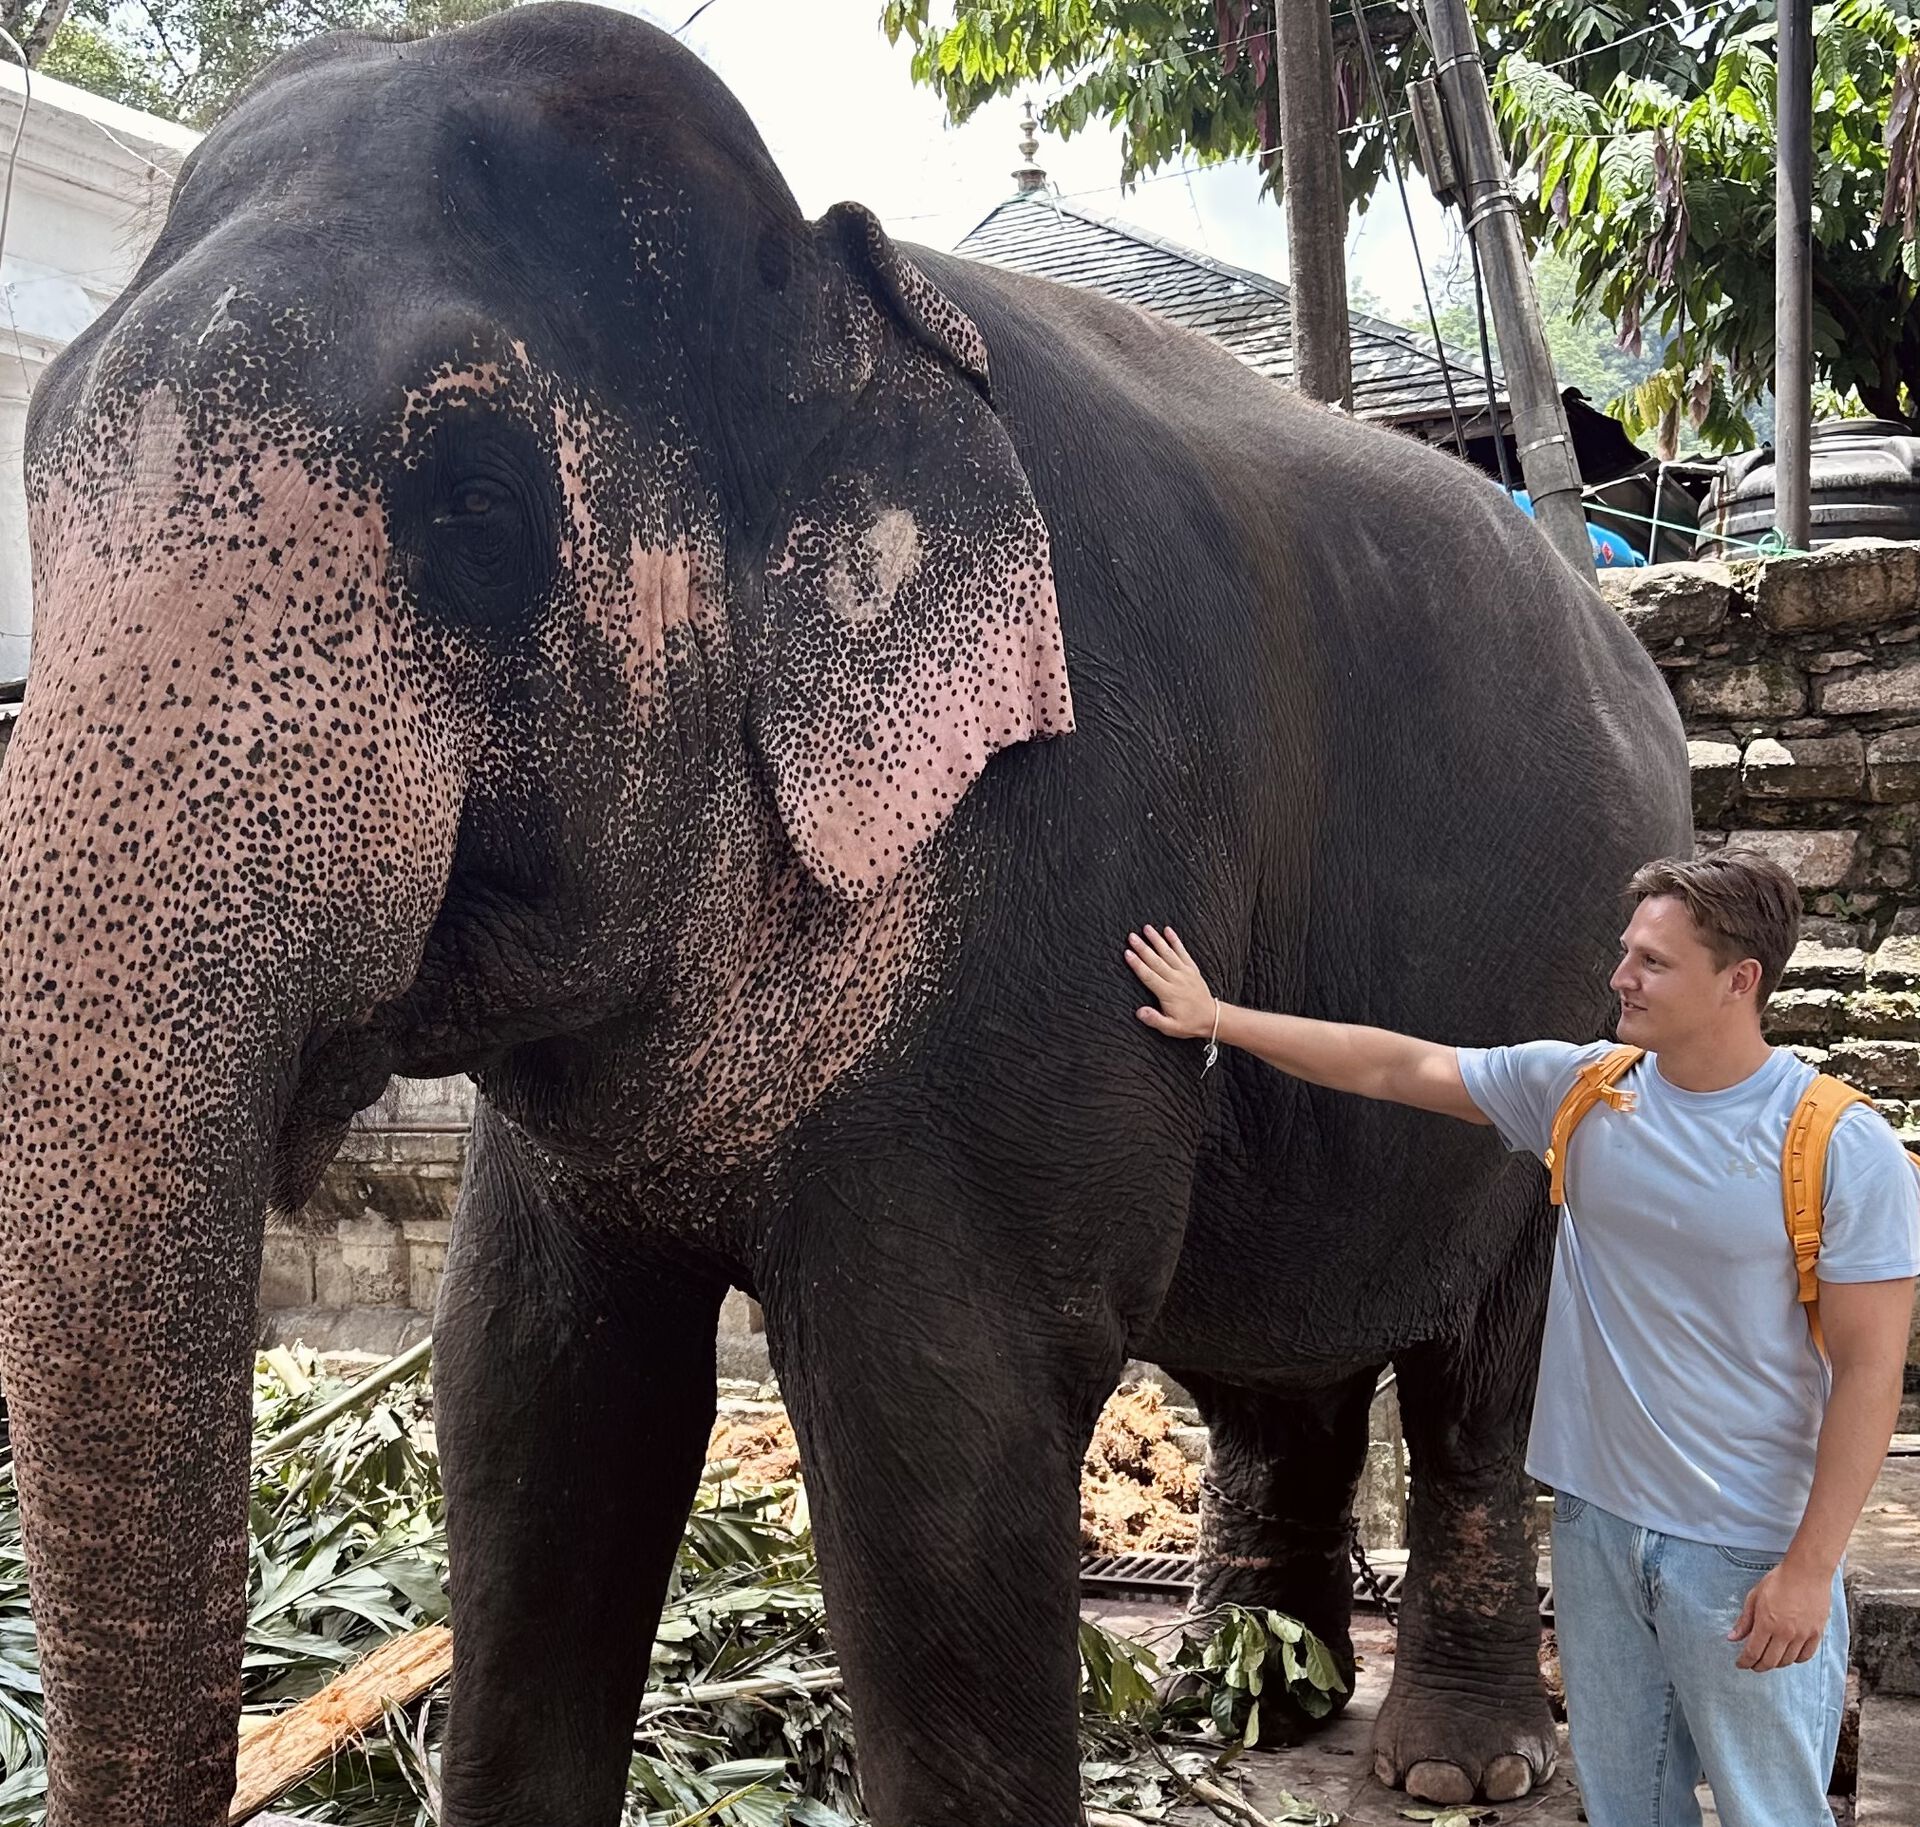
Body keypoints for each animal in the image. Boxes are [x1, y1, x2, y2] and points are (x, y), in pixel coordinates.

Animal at [0, 7, 1691, 1824]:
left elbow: (931, 1420)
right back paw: (1236, 1703)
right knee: (1268, 1359)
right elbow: (527, 1386)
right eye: (39, 478)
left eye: (475, 508)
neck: (834, 290)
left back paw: (1456, 1762)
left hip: (1583, 1016)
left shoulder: (1053, 877)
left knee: (1485, 1372)